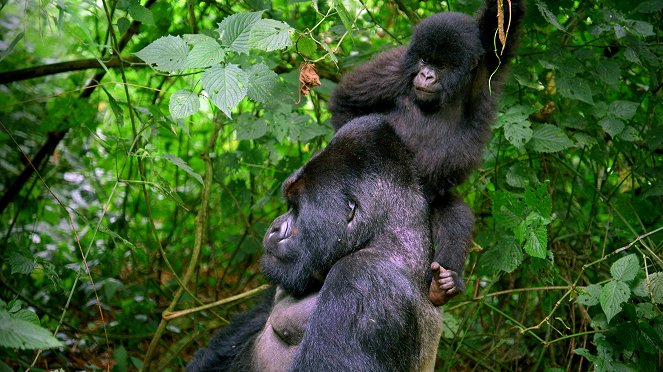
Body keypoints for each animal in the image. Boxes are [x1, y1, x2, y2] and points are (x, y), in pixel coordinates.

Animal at [330, 0, 528, 306]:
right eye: (424, 61)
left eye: (442, 65)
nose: (426, 75)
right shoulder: (396, 68)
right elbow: (345, 105)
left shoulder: (484, 71)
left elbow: (503, 23)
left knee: (454, 213)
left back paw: (441, 284)